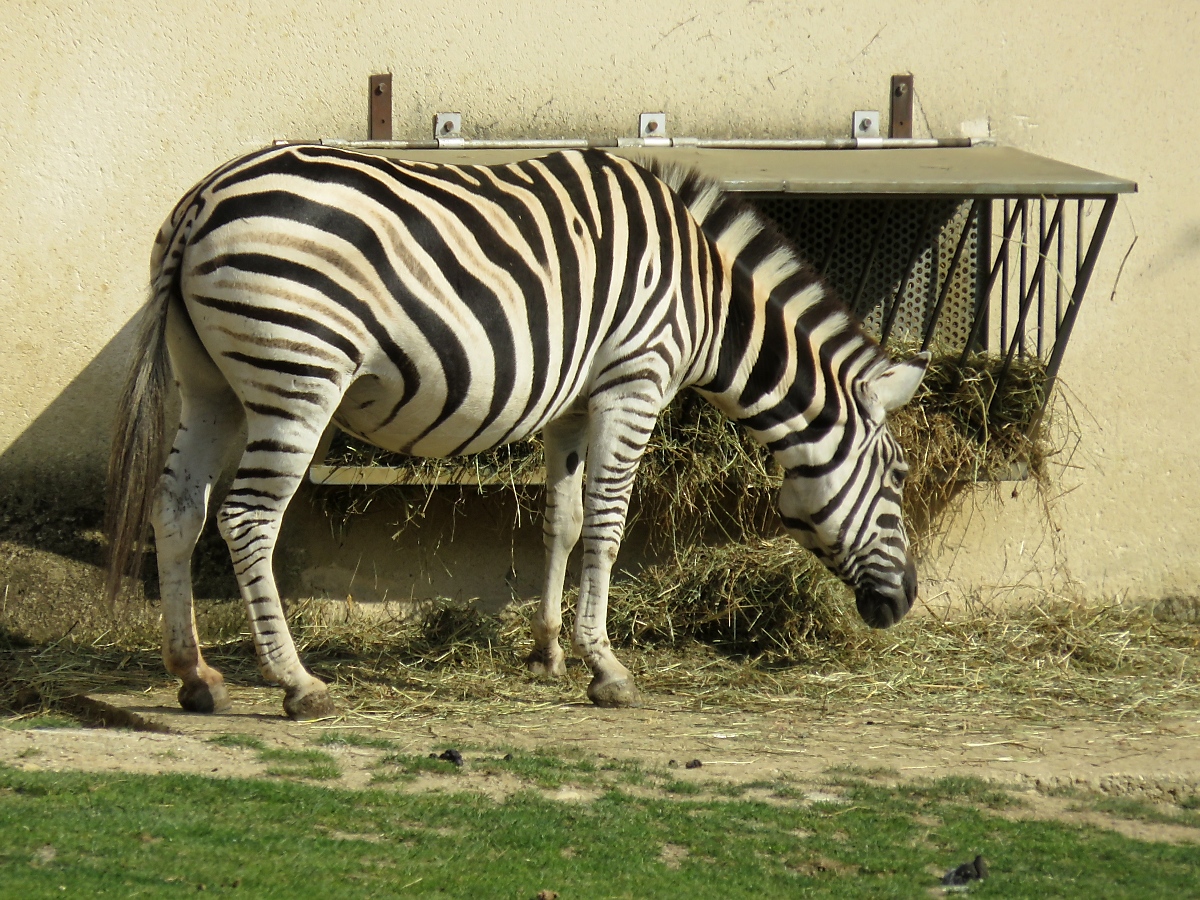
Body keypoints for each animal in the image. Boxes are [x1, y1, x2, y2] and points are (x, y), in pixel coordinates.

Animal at [105, 146, 926, 720]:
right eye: (898, 479)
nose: (907, 602)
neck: (709, 300)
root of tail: (203, 201)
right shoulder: (633, 382)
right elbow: (607, 524)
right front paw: (607, 669)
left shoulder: (572, 402)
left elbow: (561, 521)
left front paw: (548, 654)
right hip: (298, 374)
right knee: (247, 518)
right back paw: (297, 683)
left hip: (210, 381)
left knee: (176, 508)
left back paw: (195, 677)